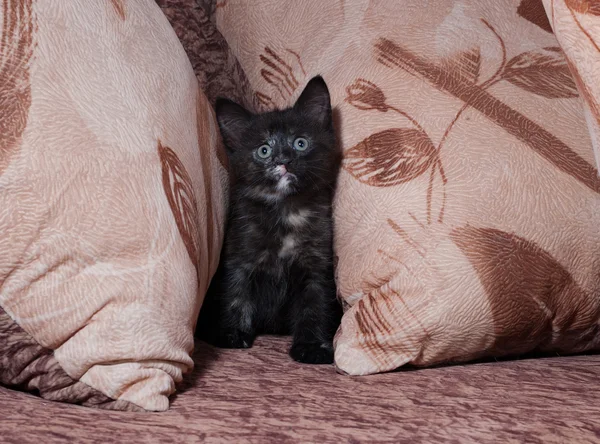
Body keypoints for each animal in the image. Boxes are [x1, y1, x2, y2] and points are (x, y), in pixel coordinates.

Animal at [195, 76, 340, 364]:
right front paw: (232, 334)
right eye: (263, 150)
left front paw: (312, 347)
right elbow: (236, 294)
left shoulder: (316, 265)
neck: (285, 211)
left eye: (300, 143)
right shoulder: (238, 257)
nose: (283, 160)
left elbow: (315, 305)